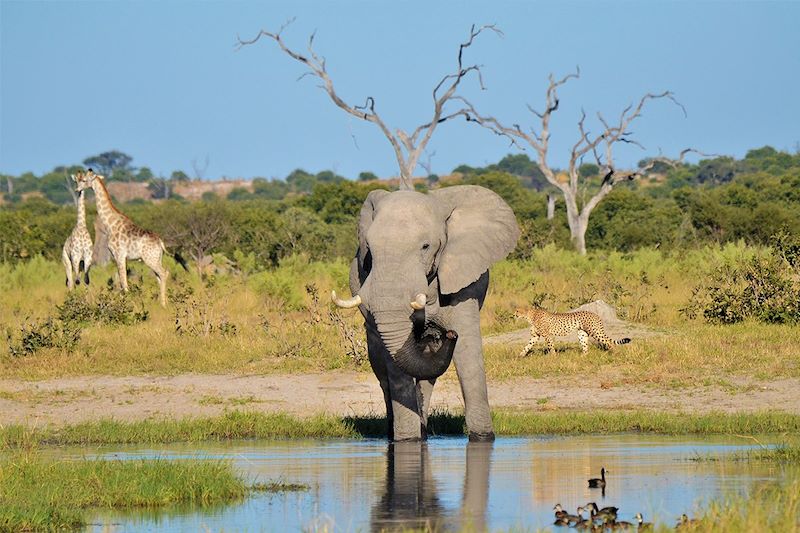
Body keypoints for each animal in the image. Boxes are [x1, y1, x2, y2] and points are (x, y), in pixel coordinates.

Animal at [75, 168, 172, 306]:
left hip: (150, 259)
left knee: (163, 274)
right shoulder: (119, 257)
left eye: (83, 180)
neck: (110, 224)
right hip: (157, 258)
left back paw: (163, 304)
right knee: (159, 276)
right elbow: (121, 282)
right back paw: (163, 303)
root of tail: (160, 242)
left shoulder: (119, 255)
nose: (77, 189)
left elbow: (124, 283)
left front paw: (129, 305)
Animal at [332, 185, 520, 442]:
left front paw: (483, 438)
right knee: (383, 372)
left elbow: (468, 352)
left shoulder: (463, 282)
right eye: (369, 250)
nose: (450, 335)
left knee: (427, 376)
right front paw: (407, 441)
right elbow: (395, 367)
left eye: (425, 247)